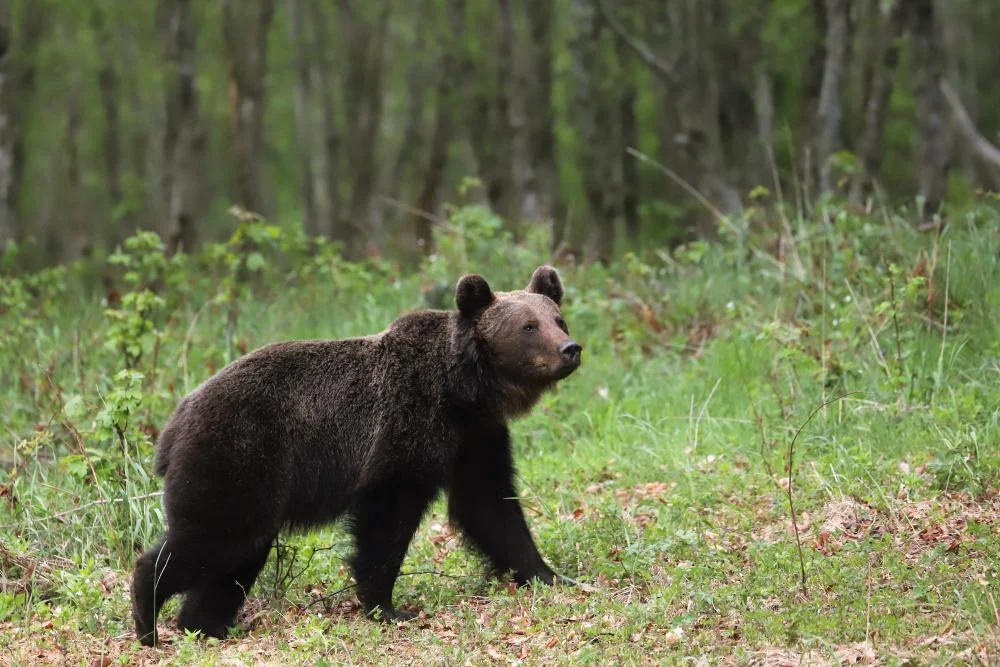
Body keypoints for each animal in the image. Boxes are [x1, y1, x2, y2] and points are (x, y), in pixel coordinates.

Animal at [133, 264, 584, 648]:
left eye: (557, 319)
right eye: (528, 326)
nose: (570, 348)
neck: (464, 391)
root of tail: (173, 424)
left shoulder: (475, 438)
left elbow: (492, 507)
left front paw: (550, 576)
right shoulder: (407, 425)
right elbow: (387, 516)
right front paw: (387, 606)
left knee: (237, 557)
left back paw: (205, 625)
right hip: (238, 455)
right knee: (216, 537)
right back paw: (148, 616)